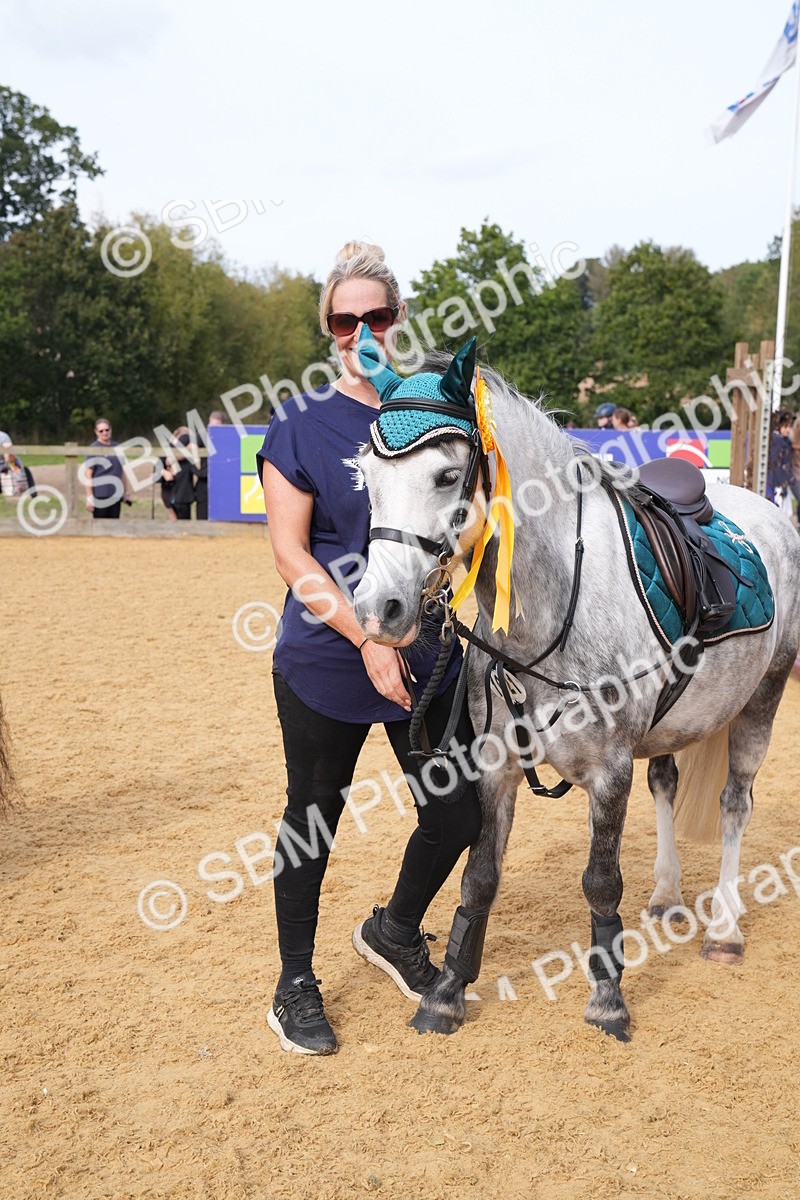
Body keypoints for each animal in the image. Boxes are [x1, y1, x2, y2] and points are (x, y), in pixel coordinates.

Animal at [352, 340, 800, 1043]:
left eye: (448, 476)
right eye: (367, 477)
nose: (378, 609)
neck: (552, 607)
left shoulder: (610, 771)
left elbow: (601, 883)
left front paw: (609, 999)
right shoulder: (495, 765)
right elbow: (479, 878)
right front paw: (446, 994)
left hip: (765, 696)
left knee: (735, 804)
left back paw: (725, 929)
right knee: (668, 783)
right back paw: (667, 896)